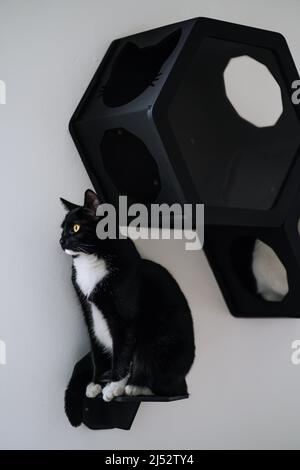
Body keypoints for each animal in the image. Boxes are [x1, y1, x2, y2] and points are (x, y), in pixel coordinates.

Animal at [60, 189, 196, 402]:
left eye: (75, 227)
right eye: (62, 229)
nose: (61, 241)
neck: (91, 260)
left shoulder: (125, 316)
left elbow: (123, 351)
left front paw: (114, 386)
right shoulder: (87, 312)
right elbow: (96, 350)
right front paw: (96, 383)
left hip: (160, 345)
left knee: (162, 383)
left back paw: (135, 387)